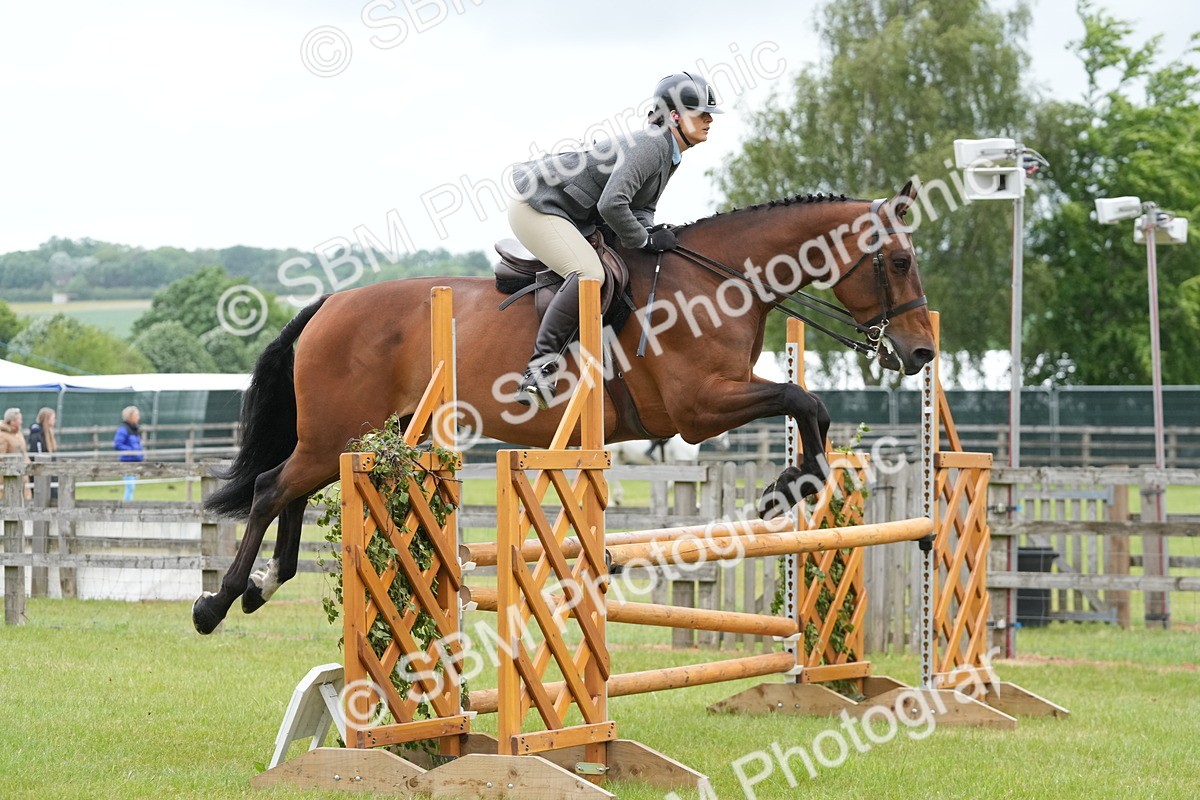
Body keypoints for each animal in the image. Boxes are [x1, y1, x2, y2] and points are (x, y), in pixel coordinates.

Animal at [192, 183, 935, 634]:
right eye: (898, 262)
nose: (922, 351)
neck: (718, 281)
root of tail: (328, 305)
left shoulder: (712, 402)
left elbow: (808, 405)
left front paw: (795, 483)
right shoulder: (697, 409)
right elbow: (802, 397)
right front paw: (793, 483)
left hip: (358, 438)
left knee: (289, 492)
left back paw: (262, 587)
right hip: (338, 434)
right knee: (270, 488)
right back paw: (216, 602)